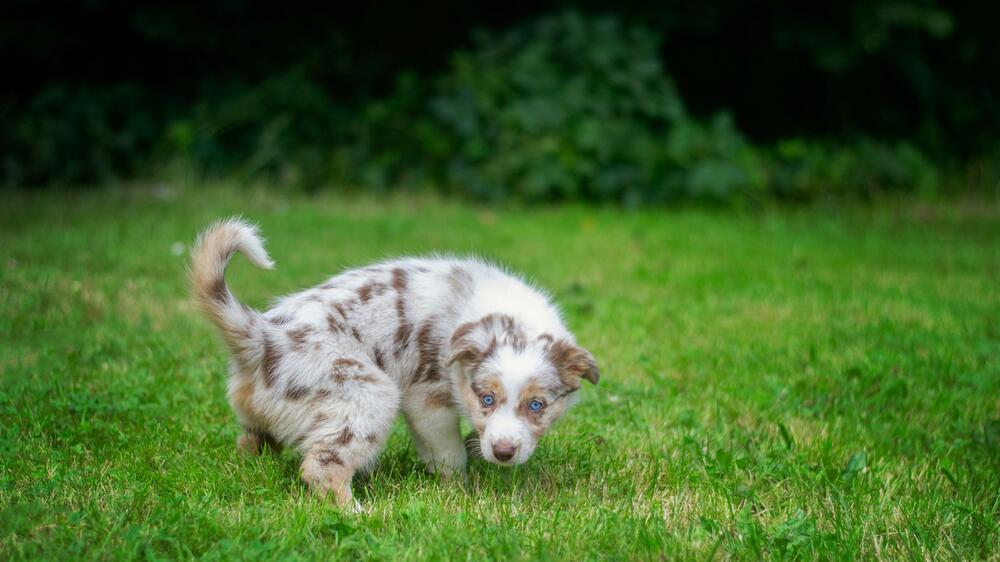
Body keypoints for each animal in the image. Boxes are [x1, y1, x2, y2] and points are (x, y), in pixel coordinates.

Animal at [191, 218, 596, 508]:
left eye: (537, 405)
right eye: (487, 399)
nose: (503, 453)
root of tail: (262, 334)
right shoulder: (426, 398)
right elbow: (447, 453)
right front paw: (460, 490)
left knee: (251, 443)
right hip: (369, 395)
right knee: (322, 467)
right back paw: (359, 513)